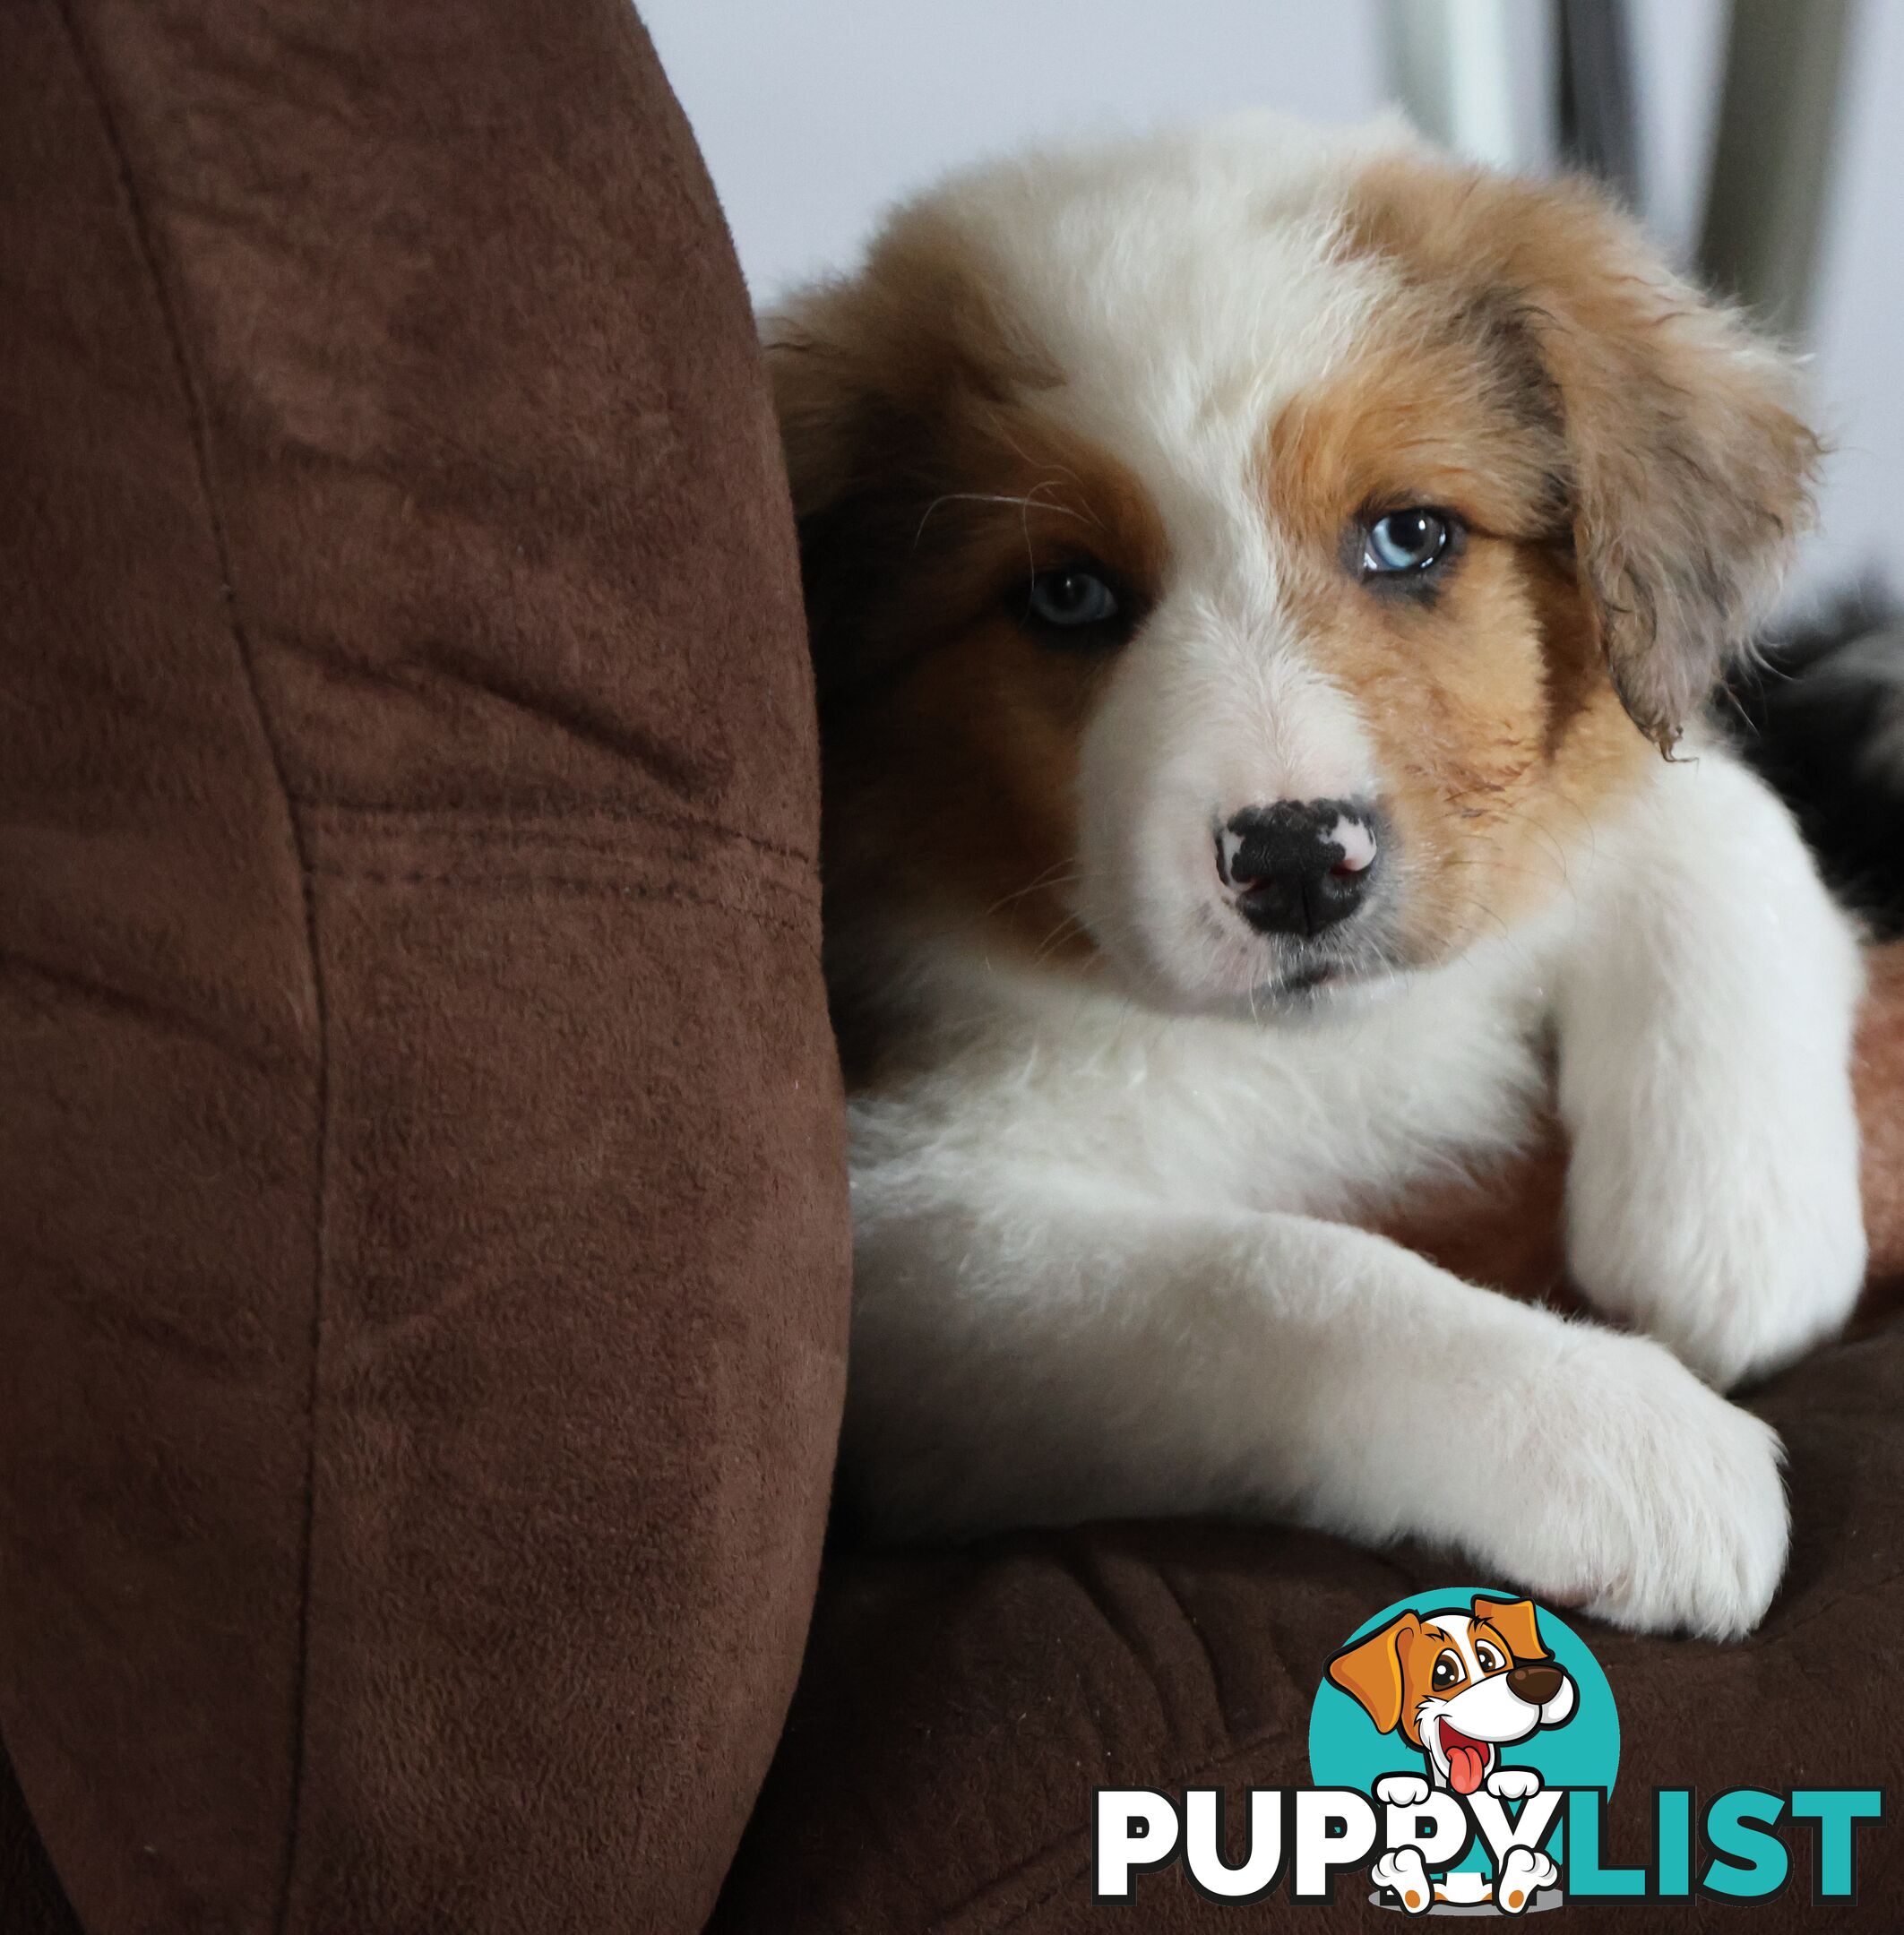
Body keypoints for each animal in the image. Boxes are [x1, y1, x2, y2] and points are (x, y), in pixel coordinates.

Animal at [758, 116, 1857, 1633]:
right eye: (1066, 595)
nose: (1294, 865)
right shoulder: (910, 1260)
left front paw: (1735, 1225)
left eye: (1409, 536)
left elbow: (1708, 807)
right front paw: (1625, 1436)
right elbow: (1276, 1271)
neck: (1314, 1049)